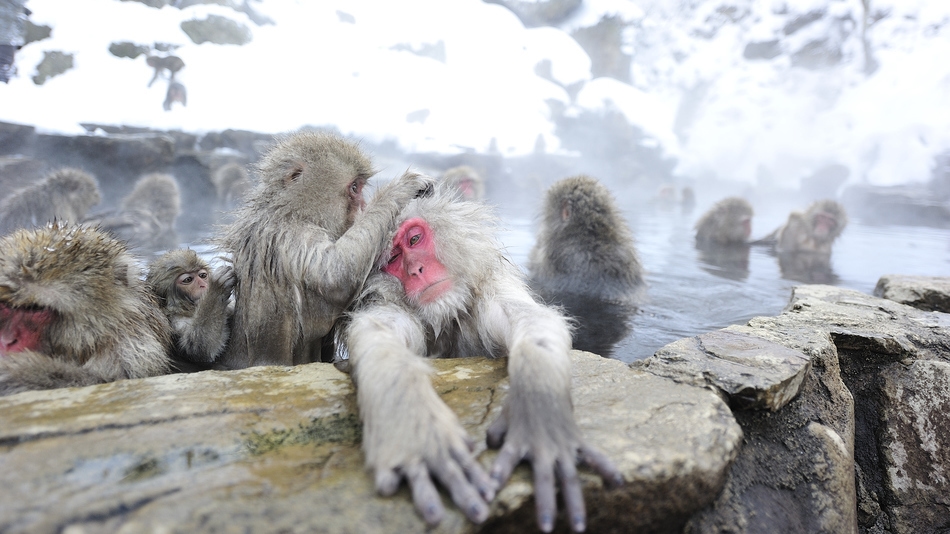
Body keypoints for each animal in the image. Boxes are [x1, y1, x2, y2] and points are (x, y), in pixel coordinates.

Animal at [216, 132, 436, 370]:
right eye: (354, 188)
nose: (363, 205)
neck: (293, 211)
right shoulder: (295, 235)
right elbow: (336, 277)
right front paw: (403, 188)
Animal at [342, 183, 624, 532]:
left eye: (414, 239)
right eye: (393, 259)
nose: (416, 271)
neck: (446, 314)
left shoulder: (489, 293)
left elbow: (533, 321)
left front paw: (541, 413)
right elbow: (378, 335)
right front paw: (417, 431)